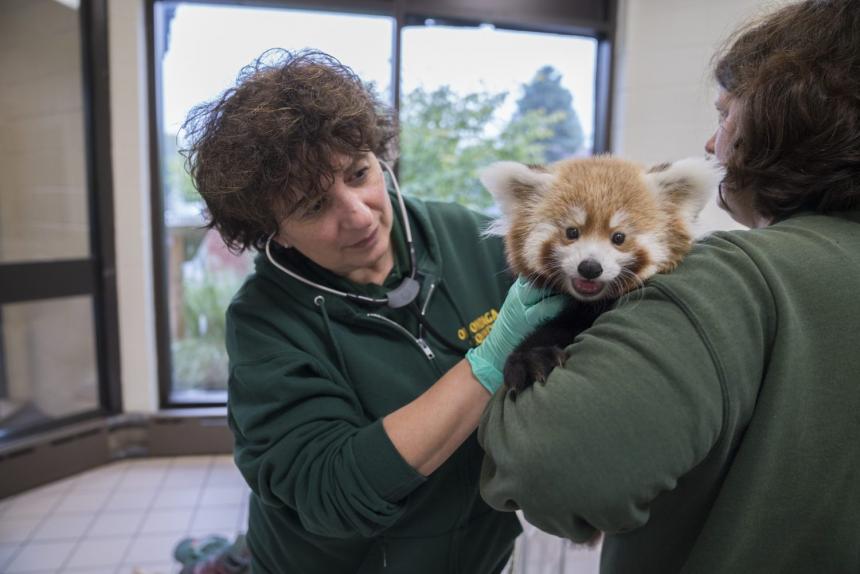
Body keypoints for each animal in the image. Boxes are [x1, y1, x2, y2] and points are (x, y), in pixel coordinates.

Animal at [480, 155, 724, 398]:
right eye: (572, 232)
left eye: (619, 237)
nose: (589, 268)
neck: (590, 303)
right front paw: (530, 358)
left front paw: (531, 358)